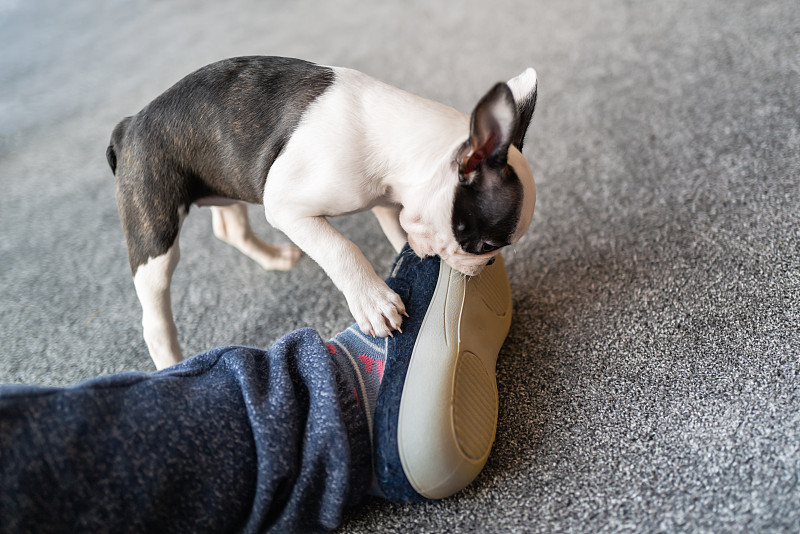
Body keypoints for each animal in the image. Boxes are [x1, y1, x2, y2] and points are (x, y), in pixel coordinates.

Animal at [103, 56, 536, 370]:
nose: (486, 265)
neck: (397, 144)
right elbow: (341, 248)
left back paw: (274, 257)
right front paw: (373, 301)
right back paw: (172, 366)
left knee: (230, 227)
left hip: (224, 179)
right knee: (155, 316)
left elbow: (401, 233)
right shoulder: (287, 207)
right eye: (485, 244)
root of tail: (128, 126)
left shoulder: (386, 201)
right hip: (155, 231)